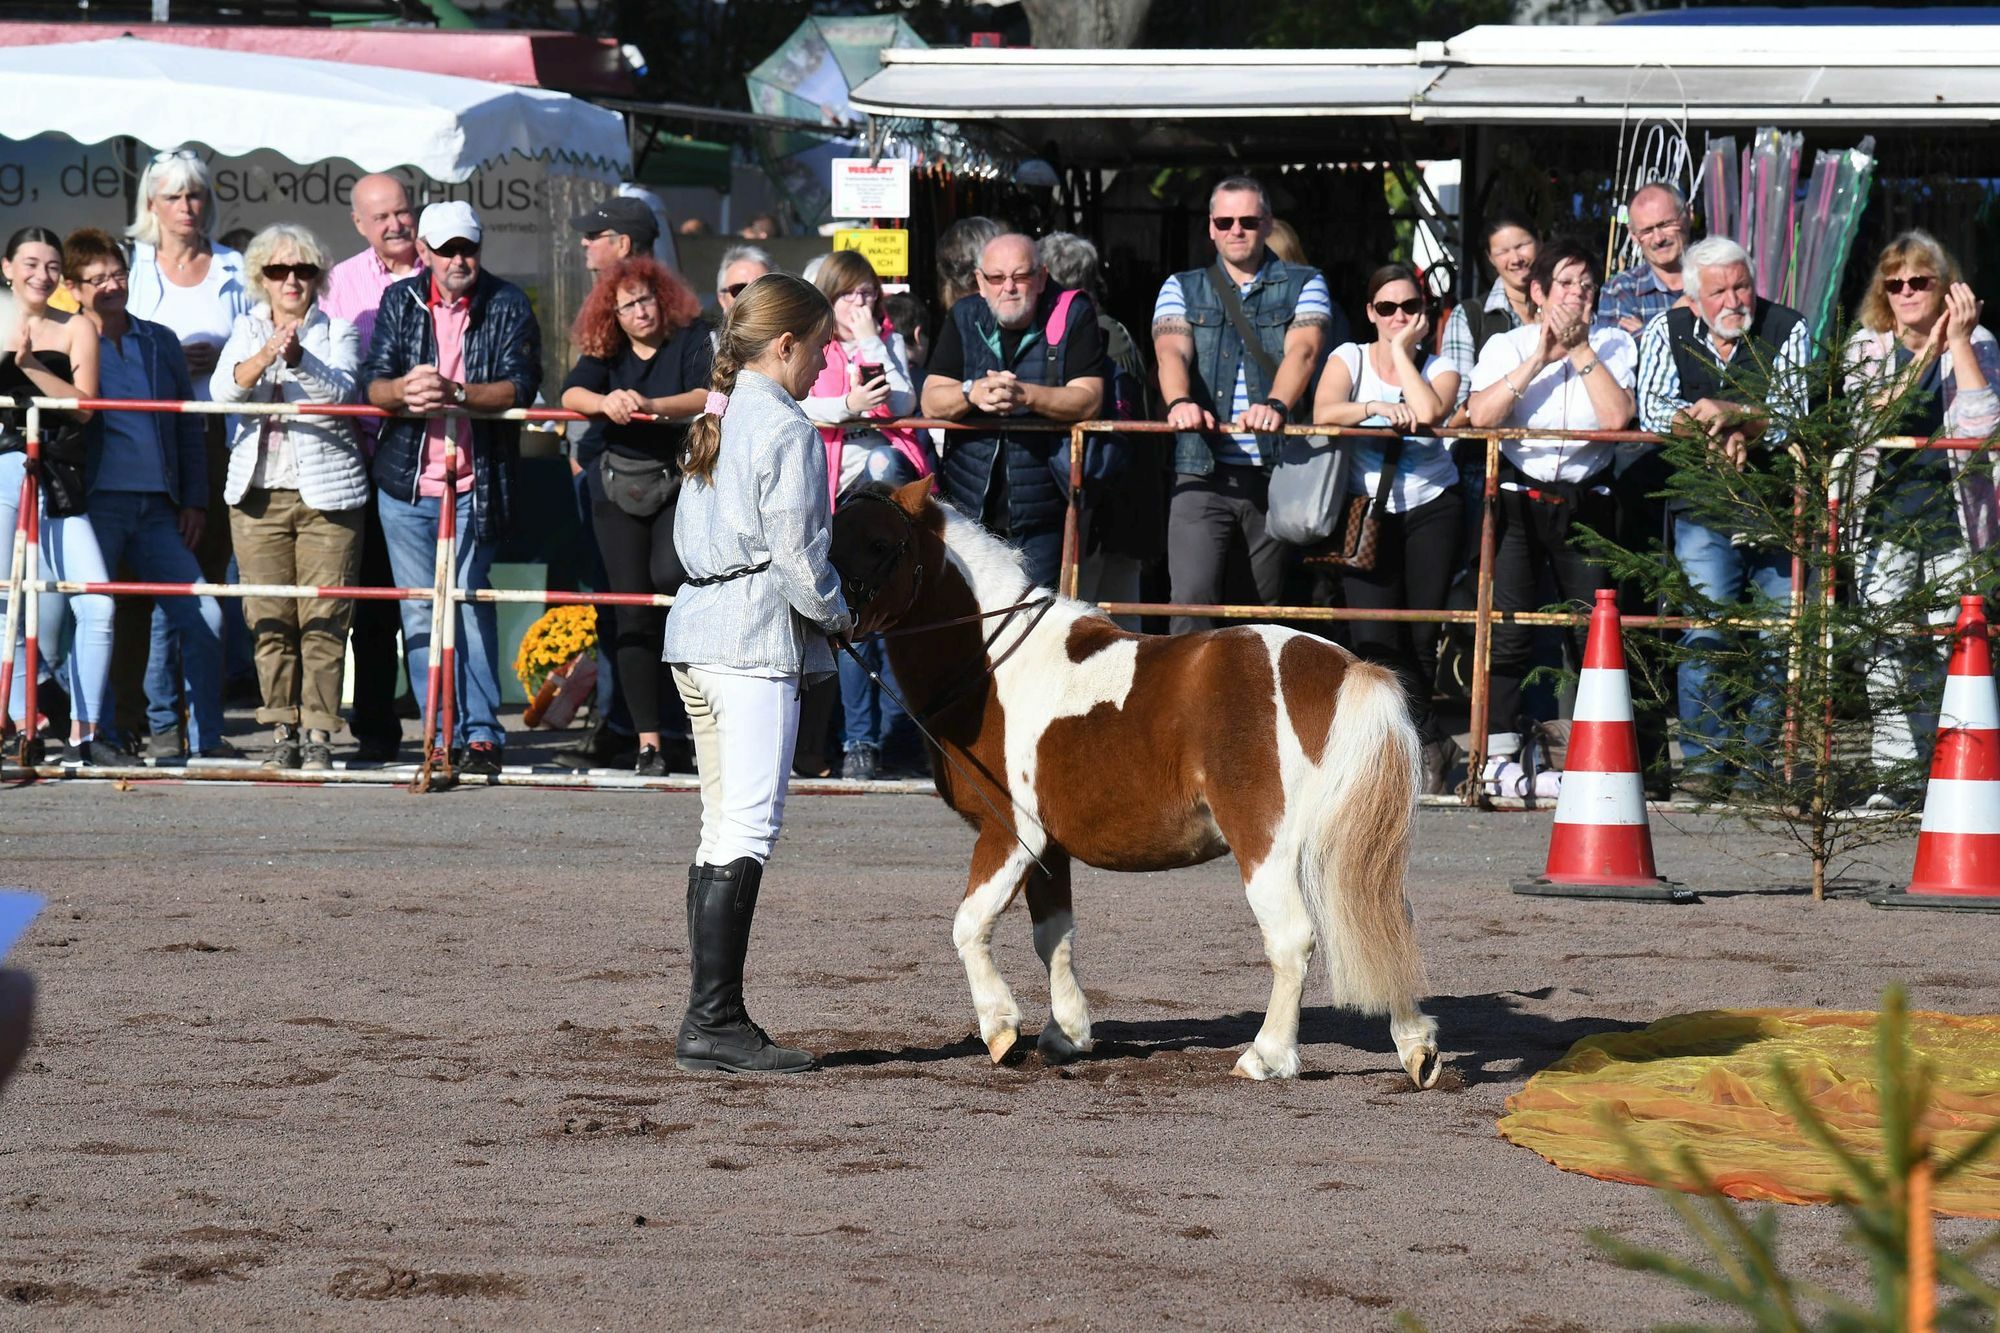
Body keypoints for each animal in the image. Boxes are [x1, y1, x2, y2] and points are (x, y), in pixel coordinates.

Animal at [828, 480, 1443, 1088]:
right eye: (830, 532)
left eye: (880, 544)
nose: (829, 613)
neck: (993, 664)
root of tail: (1344, 669)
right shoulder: (1049, 847)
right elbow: (1053, 936)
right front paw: (1067, 1033)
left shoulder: (1011, 833)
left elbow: (969, 925)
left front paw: (1000, 1027)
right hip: (1351, 845)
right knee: (1384, 920)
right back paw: (1417, 1048)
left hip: (1263, 844)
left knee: (1293, 939)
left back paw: (1266, 1055)